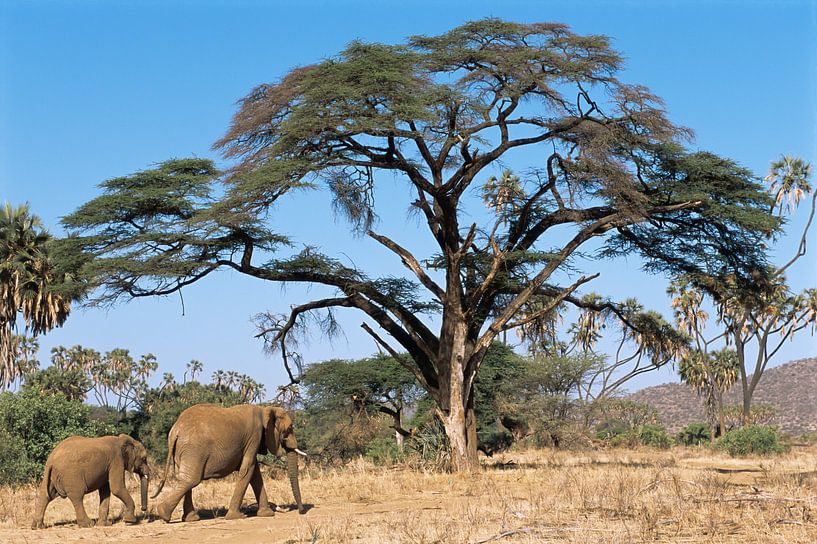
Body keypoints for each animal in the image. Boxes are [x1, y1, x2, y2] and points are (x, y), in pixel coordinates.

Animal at [153, 403, 306, 522]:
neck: (264, 409)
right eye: (289, 429)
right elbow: (248, 469)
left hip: (183, 450)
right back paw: (164, 514)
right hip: (193, 450)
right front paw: (237, 517)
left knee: (185, 479)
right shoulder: (254, 436)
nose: (302, 511)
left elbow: (255, 473)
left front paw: (266, 514)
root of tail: (175, 430)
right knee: (191, 480)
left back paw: (189, 519)